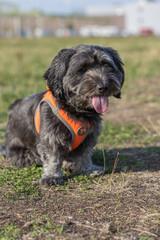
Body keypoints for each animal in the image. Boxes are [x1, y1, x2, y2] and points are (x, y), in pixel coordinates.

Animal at [5, 45, 124, 186]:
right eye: (82, 69)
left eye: (106, 65)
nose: (104, 86)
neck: (76, 110)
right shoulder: (51, 137)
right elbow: (52, 158)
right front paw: (52, 176)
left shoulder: (89, 137)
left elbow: (84, 155)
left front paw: (86, 170)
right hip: (24, 154)